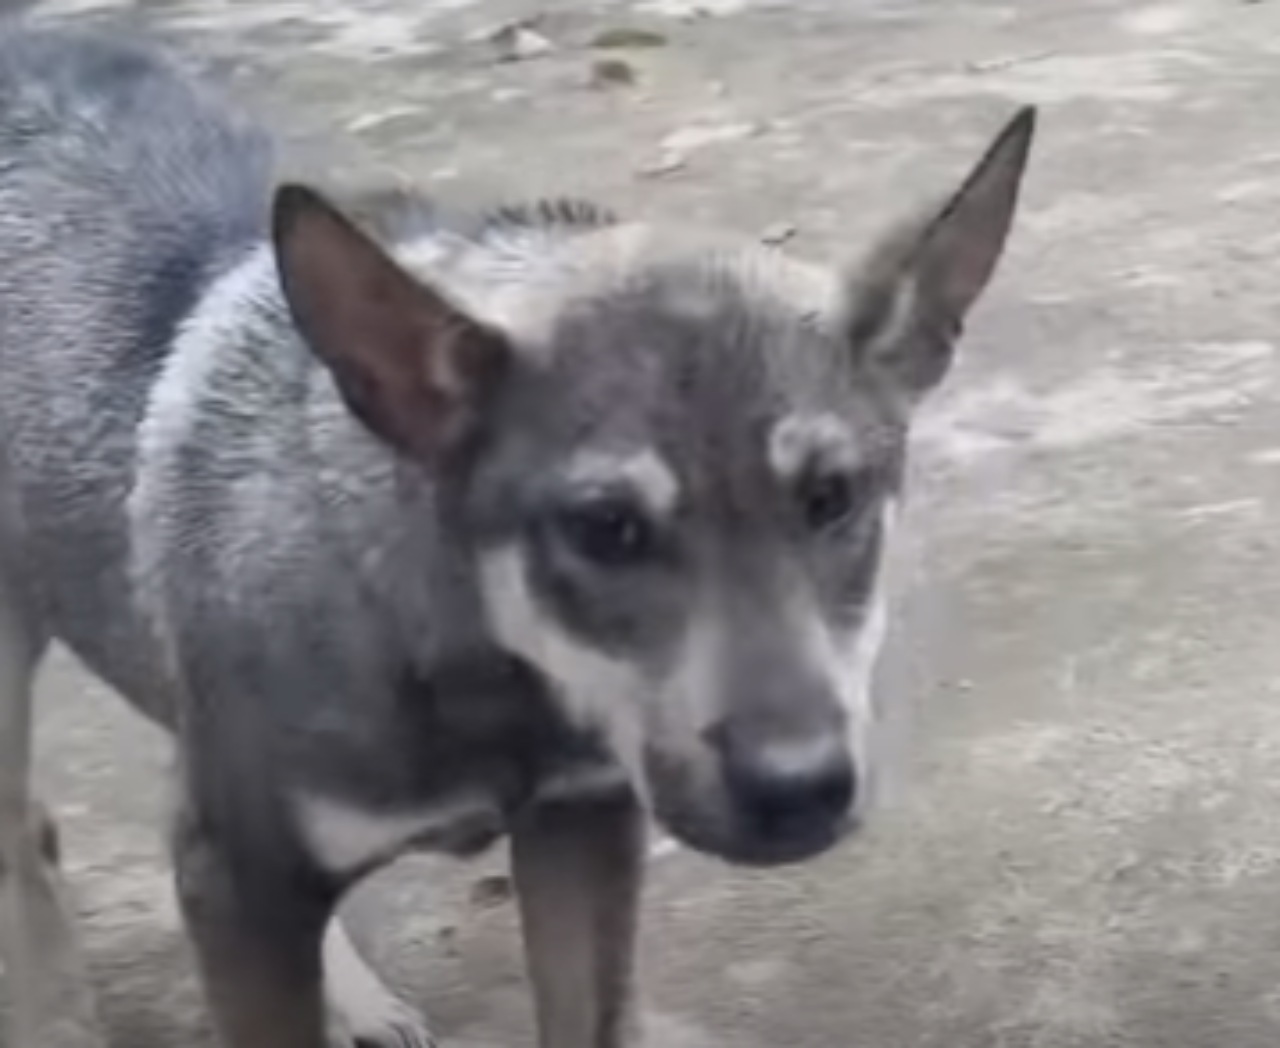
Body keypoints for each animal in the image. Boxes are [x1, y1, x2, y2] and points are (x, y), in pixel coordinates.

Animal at [0, 22, 1039, 1048]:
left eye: (832, 496)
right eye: (605, 529)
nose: (800, 789)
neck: (476, 665)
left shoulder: (582, 824)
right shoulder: (238, 882)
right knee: (28, 832)